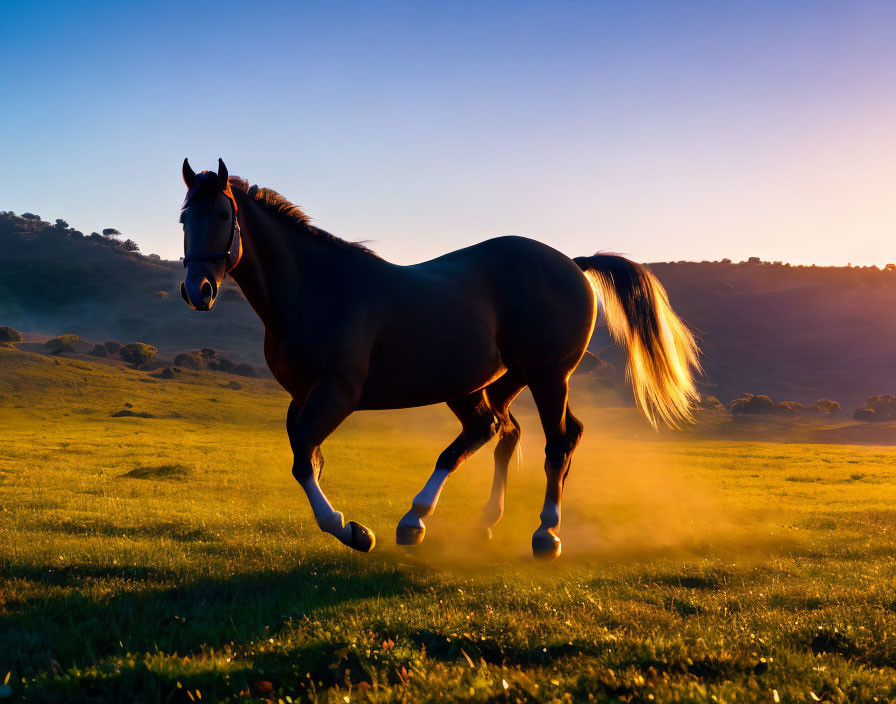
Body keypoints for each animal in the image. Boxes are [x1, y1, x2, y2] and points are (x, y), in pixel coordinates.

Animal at [180, 157, 700, 560]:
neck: (318, 289)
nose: (197, 291)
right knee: (496, 431)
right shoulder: (301, 396)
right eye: (185, 220)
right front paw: (357, 528)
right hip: (485, 382)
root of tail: (573, 264)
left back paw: (544, 533)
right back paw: (448, 521)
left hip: (548, 376)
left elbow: (304, 457)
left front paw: (352, 530)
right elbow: (305, 456)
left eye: (223, 214)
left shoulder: (335, 395)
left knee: (555, 442)